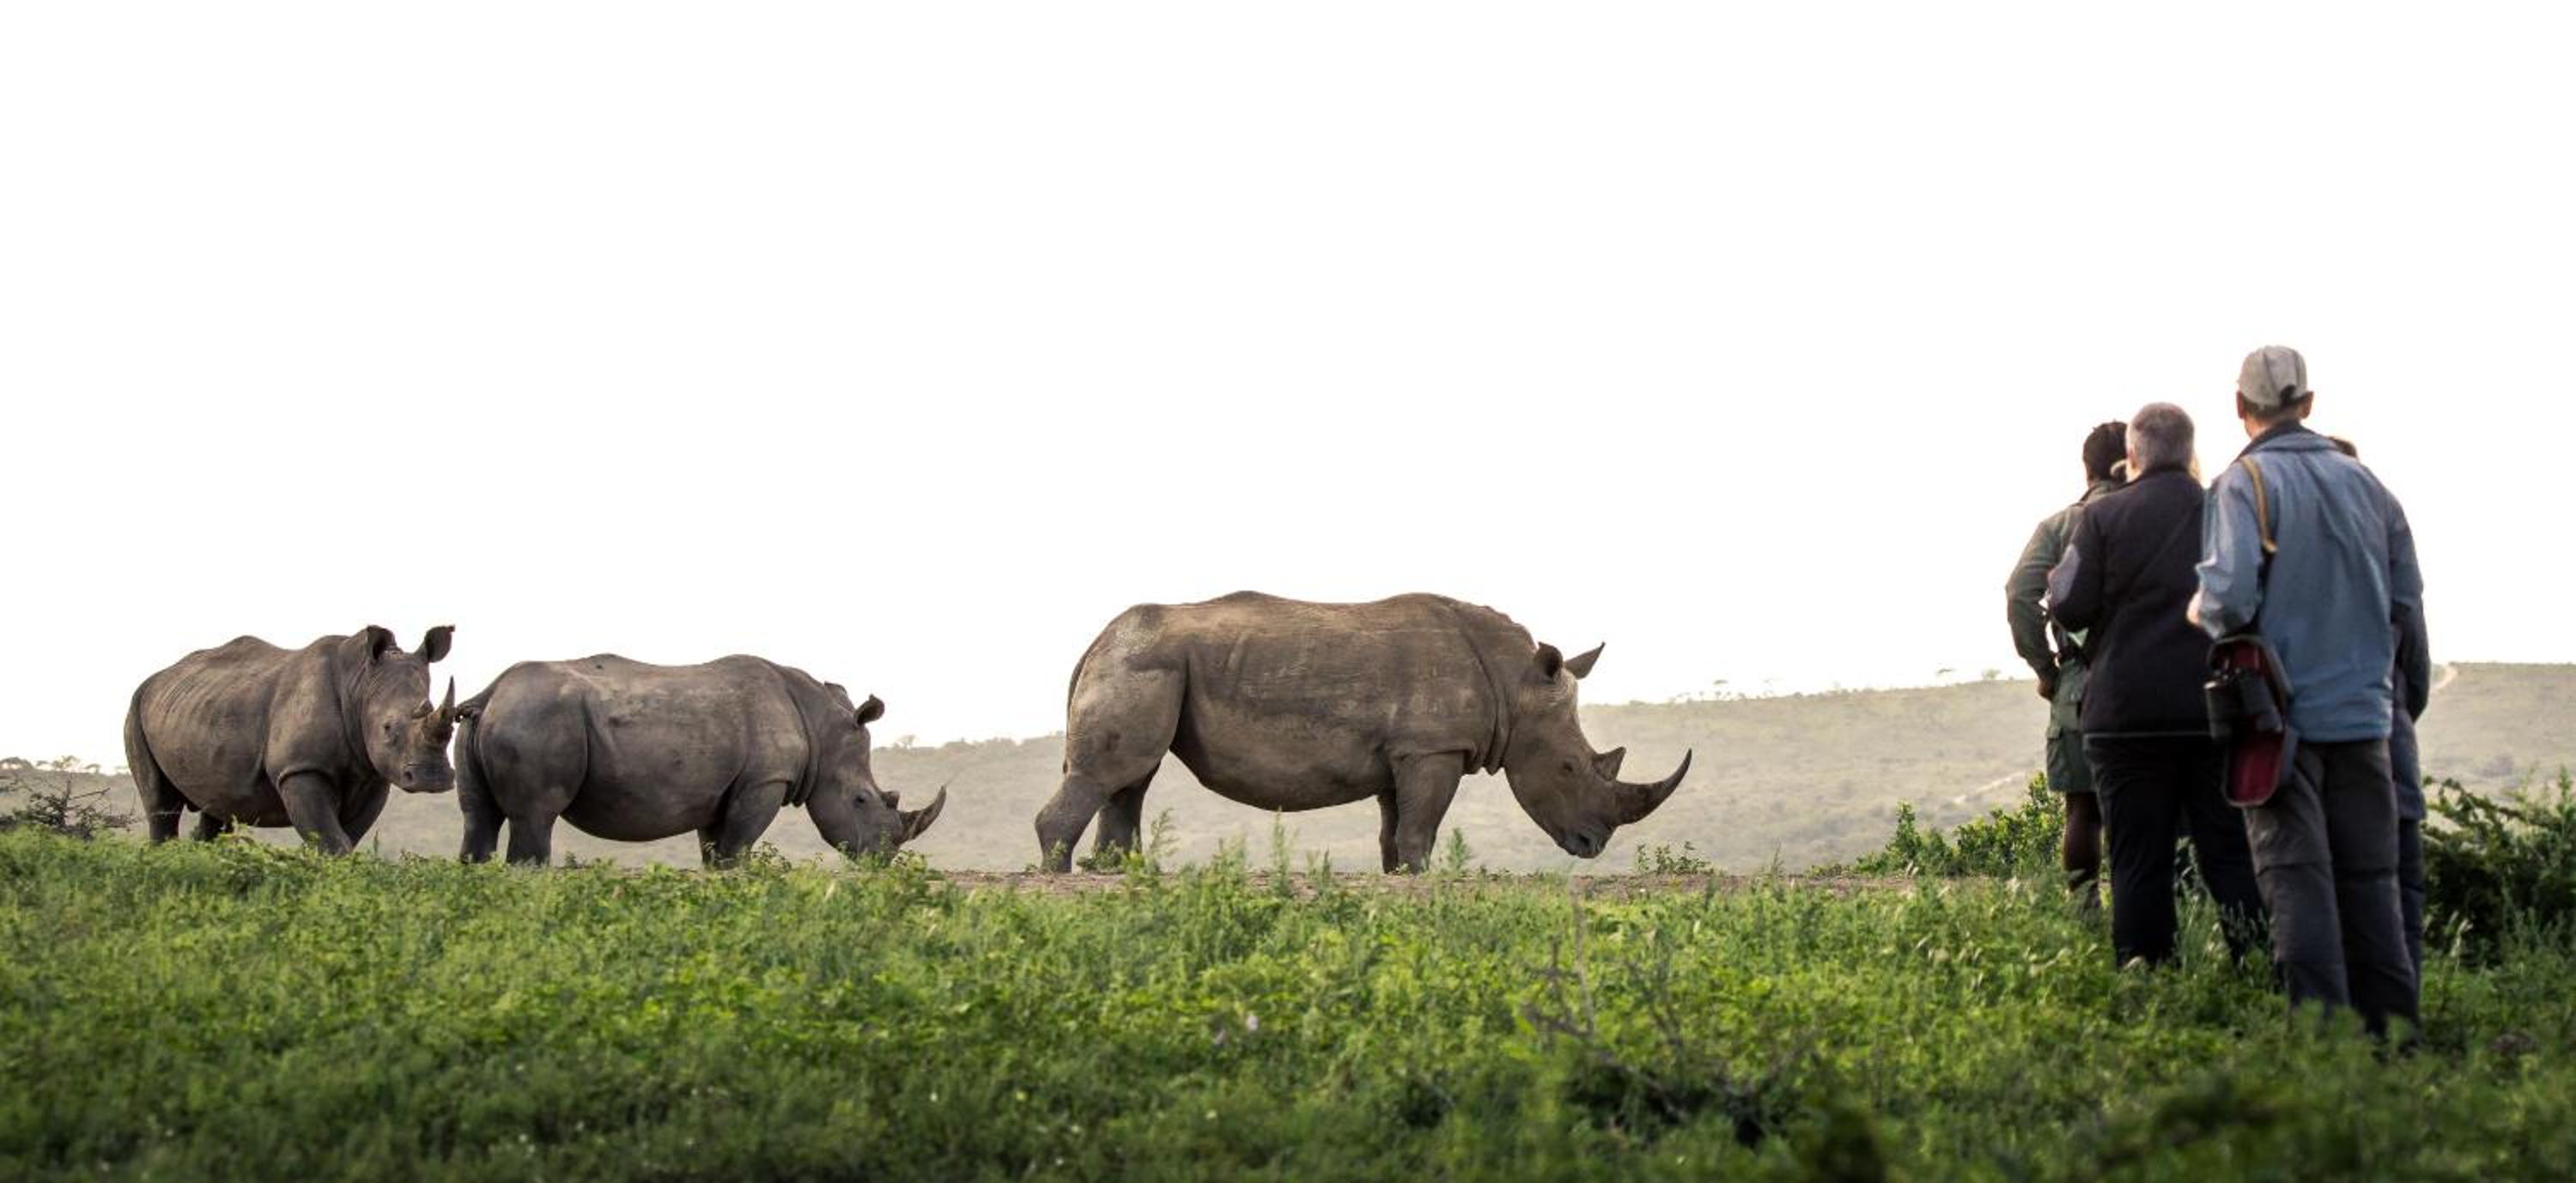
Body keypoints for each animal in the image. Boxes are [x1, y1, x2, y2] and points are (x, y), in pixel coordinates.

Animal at [125, 626, 461, 853]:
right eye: (388, 727)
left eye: (452, 722)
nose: (433, 778)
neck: (360, 685)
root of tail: (158, 676)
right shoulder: (301, 768)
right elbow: (331, 839)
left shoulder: (373, 775)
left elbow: (347, 837)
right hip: (136, 707)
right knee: (160, 805)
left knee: (216, 806)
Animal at [452, 654, 946, 866]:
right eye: (862, 800)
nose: (881, 860)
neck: (819, 727)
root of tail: (490, 694)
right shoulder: (765, 781)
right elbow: (736, 851)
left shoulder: (724, 791)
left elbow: (714, 852)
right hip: (535, 720)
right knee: (535, 817)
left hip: (489, 725)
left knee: (478, 819)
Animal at [1039, 592, 1690, 872]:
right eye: (1569, 767)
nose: (1593, 845)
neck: (1516, 684)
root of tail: (1095, 641)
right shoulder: (1434, 747)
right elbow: (1422, 825)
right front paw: (1427, 878)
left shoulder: (1406, 751)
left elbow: (1396, 827)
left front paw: (1399, 876)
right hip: (1142, 661)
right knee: (1116, 773)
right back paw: (1061, 875)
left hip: (1150, 663)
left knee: (1131, 779)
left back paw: (1120, 874)